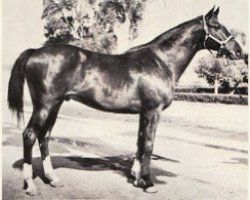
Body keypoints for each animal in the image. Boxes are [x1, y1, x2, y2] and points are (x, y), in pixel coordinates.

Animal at [7, 6, 246, 195]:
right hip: (44, 105)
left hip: (55, 105)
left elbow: (139, 143)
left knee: (44, 136)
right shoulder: (153, 111)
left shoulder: (144, 112)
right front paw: (148, 183)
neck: (161, 61)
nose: (239, 51)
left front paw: (136, 177)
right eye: (216, 26)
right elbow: (148, 144)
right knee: (30, 135)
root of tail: (36, 52)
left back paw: (53, 179)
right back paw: (31, 186)